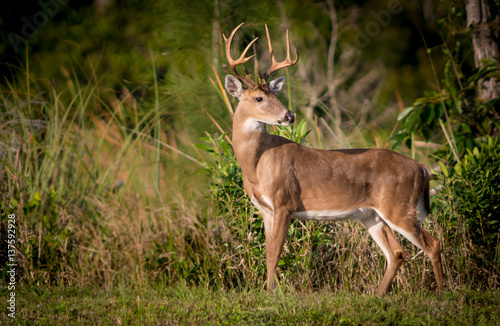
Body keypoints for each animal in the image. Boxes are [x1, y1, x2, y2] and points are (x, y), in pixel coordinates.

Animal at [223, 22, 446, 296]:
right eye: (259, 98)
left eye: (276, 95)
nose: (289, 116)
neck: (255, 165)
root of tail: (421, 168)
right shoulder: (265, 210)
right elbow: (267, 255)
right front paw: (269, 292)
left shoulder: (284, 203)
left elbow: (275, 255)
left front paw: (271, 295)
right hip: (371, 215)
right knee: (396, 252)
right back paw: (378, 295)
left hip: (399, 207)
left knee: (432, 244)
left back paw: (442, 292)